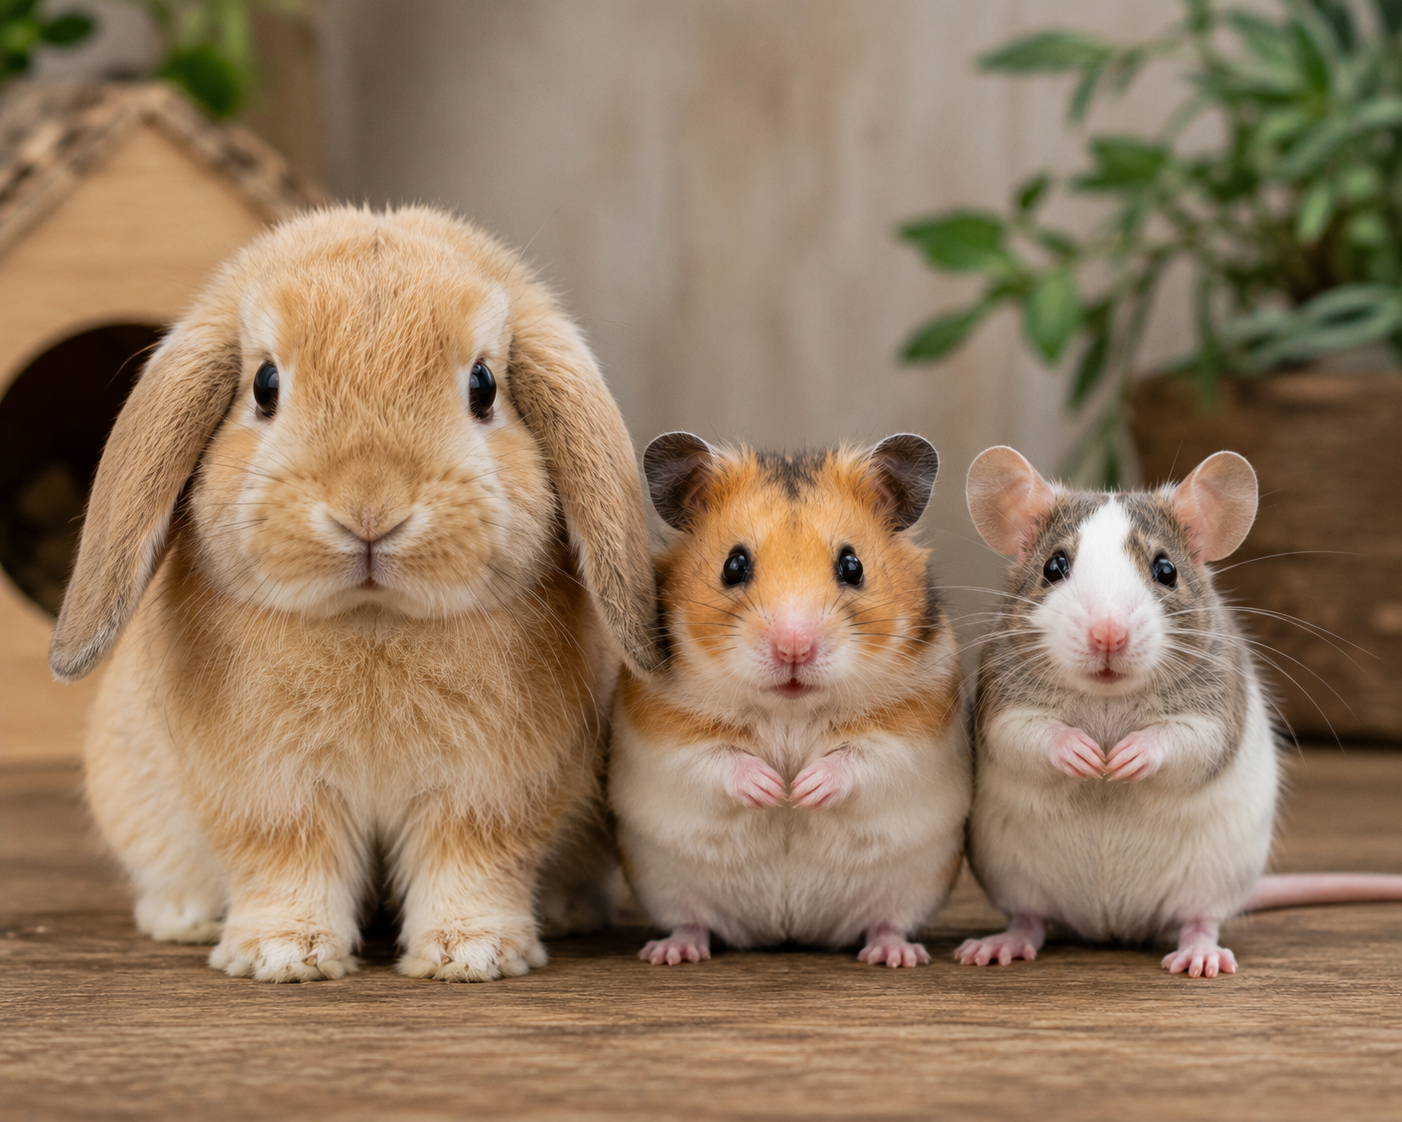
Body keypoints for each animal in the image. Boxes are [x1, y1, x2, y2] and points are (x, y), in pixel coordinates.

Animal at [609, 433, 970, 967]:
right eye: (733, 565)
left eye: (852, 566)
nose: (794, 647)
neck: (789, 710)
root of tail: (788, 931)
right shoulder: (662, 729)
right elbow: (714, 759)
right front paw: (774, 790)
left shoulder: (915, 730)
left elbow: (864, 758)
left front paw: (802, 791)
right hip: (666, 887)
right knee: (693, 922)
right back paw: (671, 952)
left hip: (916, 887)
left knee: (887, 923)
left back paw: (896, 955)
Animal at [957, 446, 1402, 978]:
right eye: (1054, 566)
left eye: (1165, 570)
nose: (1108, 634)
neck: (1108, 698)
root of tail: (1112, 925)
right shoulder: (1001, 699)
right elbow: (1020, 736)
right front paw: (1079, 752)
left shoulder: (1215, 706)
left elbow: (1192, 743)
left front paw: (1132, 755)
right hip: (1015, 878)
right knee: (1031, 919)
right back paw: (1002, 942)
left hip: (1212, 878)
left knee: (1200, 918)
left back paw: (1200, 952)